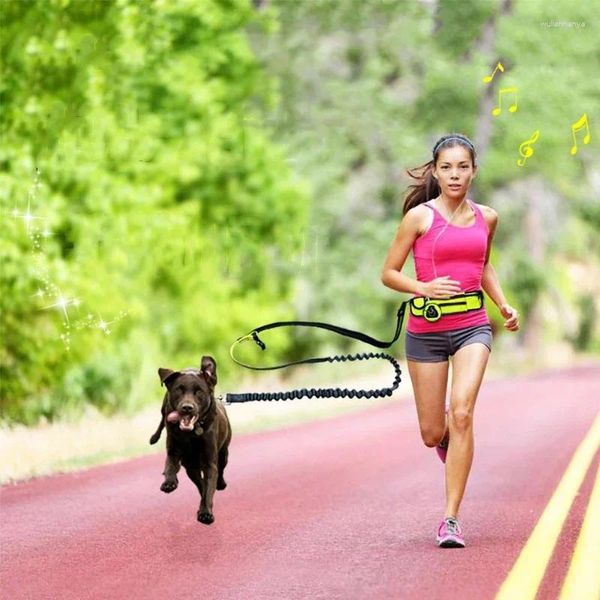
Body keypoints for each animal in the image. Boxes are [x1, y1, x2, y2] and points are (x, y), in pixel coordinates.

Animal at [150, 356, 232, 524]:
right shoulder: (179, 455)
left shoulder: (209, 462)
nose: (187, 407)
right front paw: (169, 482)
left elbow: (208, 485)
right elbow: (171, 466)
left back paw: (221, 484)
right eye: (178, 390)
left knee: (221, 469)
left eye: (199, 391)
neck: (191, 434)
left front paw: (205, 512)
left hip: (224, 453)